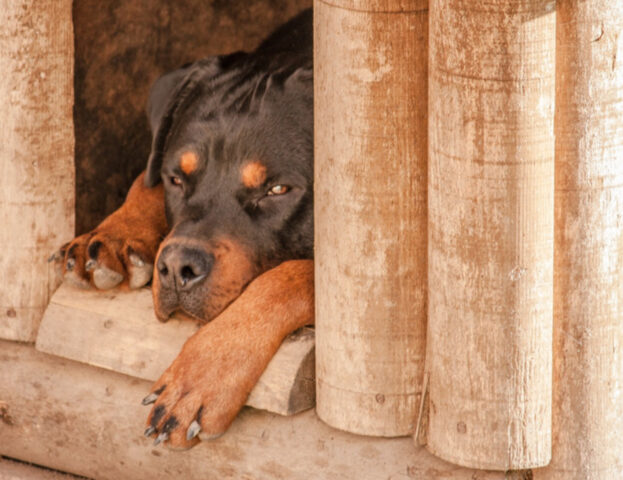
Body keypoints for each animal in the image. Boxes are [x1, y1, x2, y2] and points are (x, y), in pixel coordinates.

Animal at [53, 8, 314, 450]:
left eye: (277, 190)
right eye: (176, 178)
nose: (177, 268)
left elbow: (291, 275)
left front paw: (202, 376)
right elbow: (144, 179)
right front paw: (111, 235)